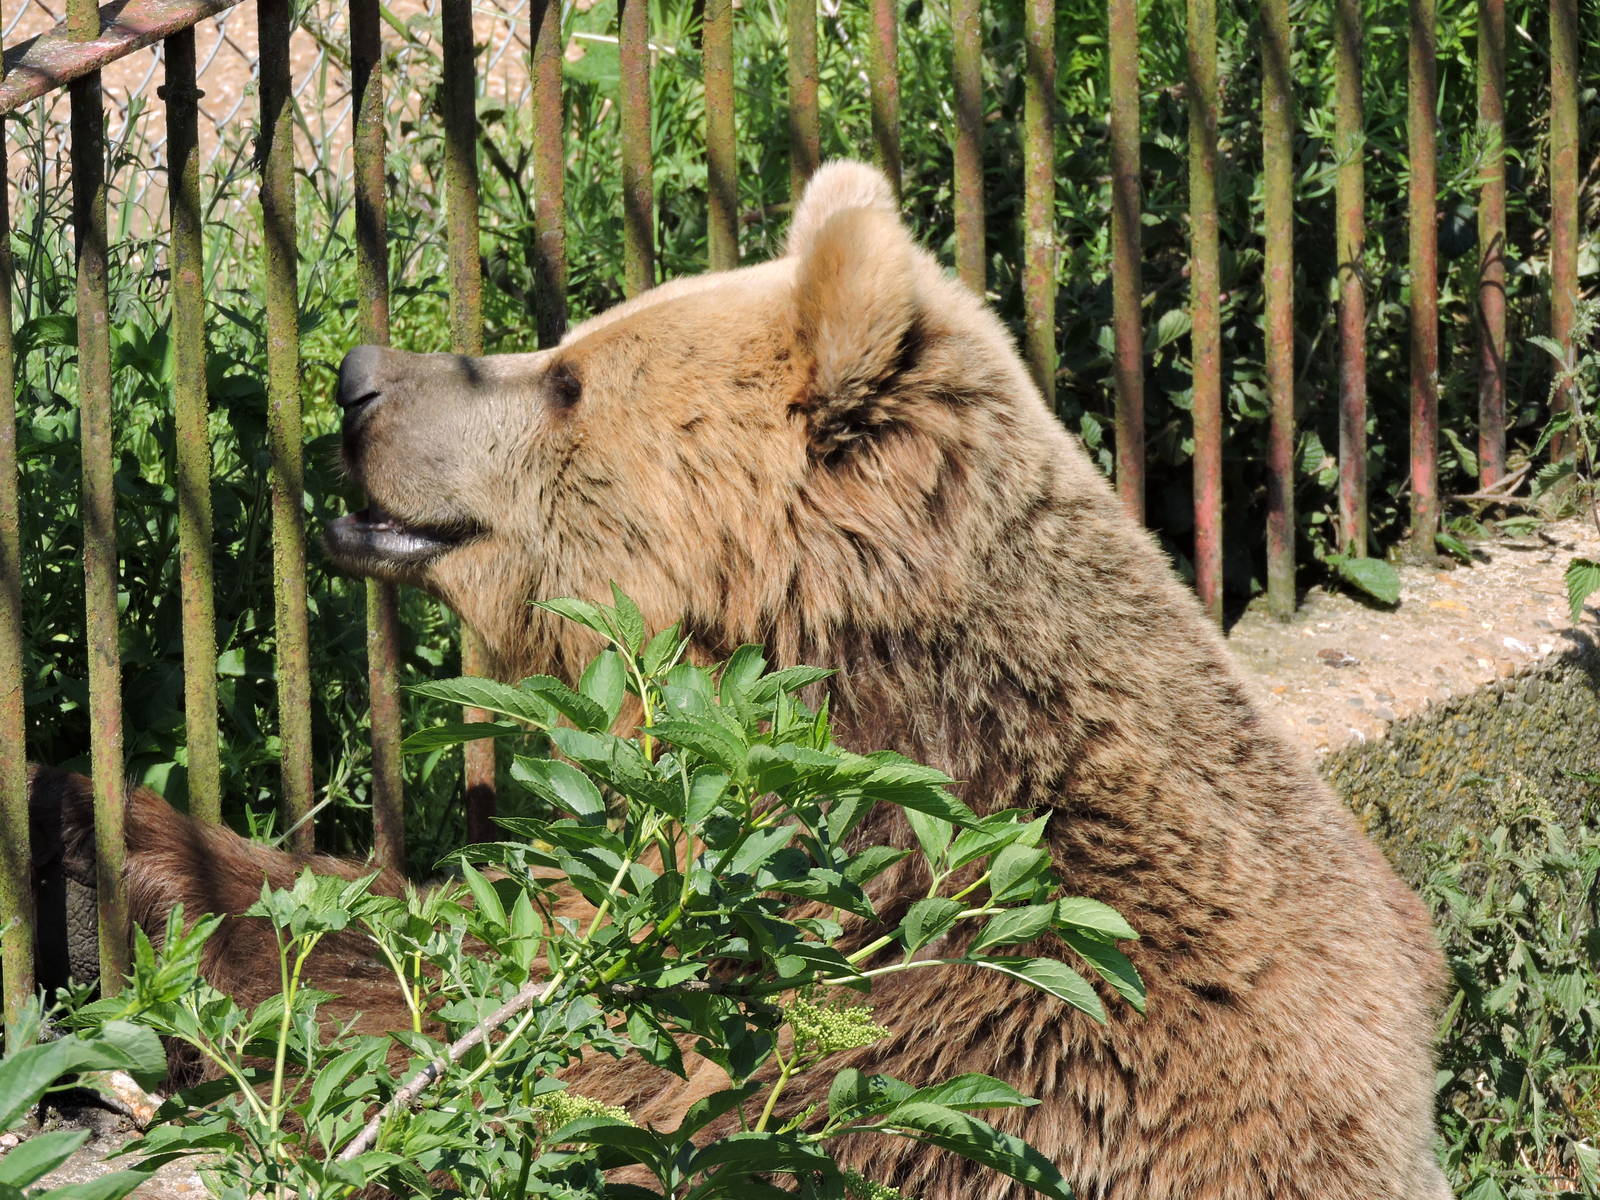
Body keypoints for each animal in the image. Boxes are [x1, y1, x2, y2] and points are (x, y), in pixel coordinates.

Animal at [33, 161, 1450, 1199]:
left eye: (566, 378)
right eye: (565, 342)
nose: (360, 378)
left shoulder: (955, 1021)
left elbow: (522, 1036)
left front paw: (102, 846)